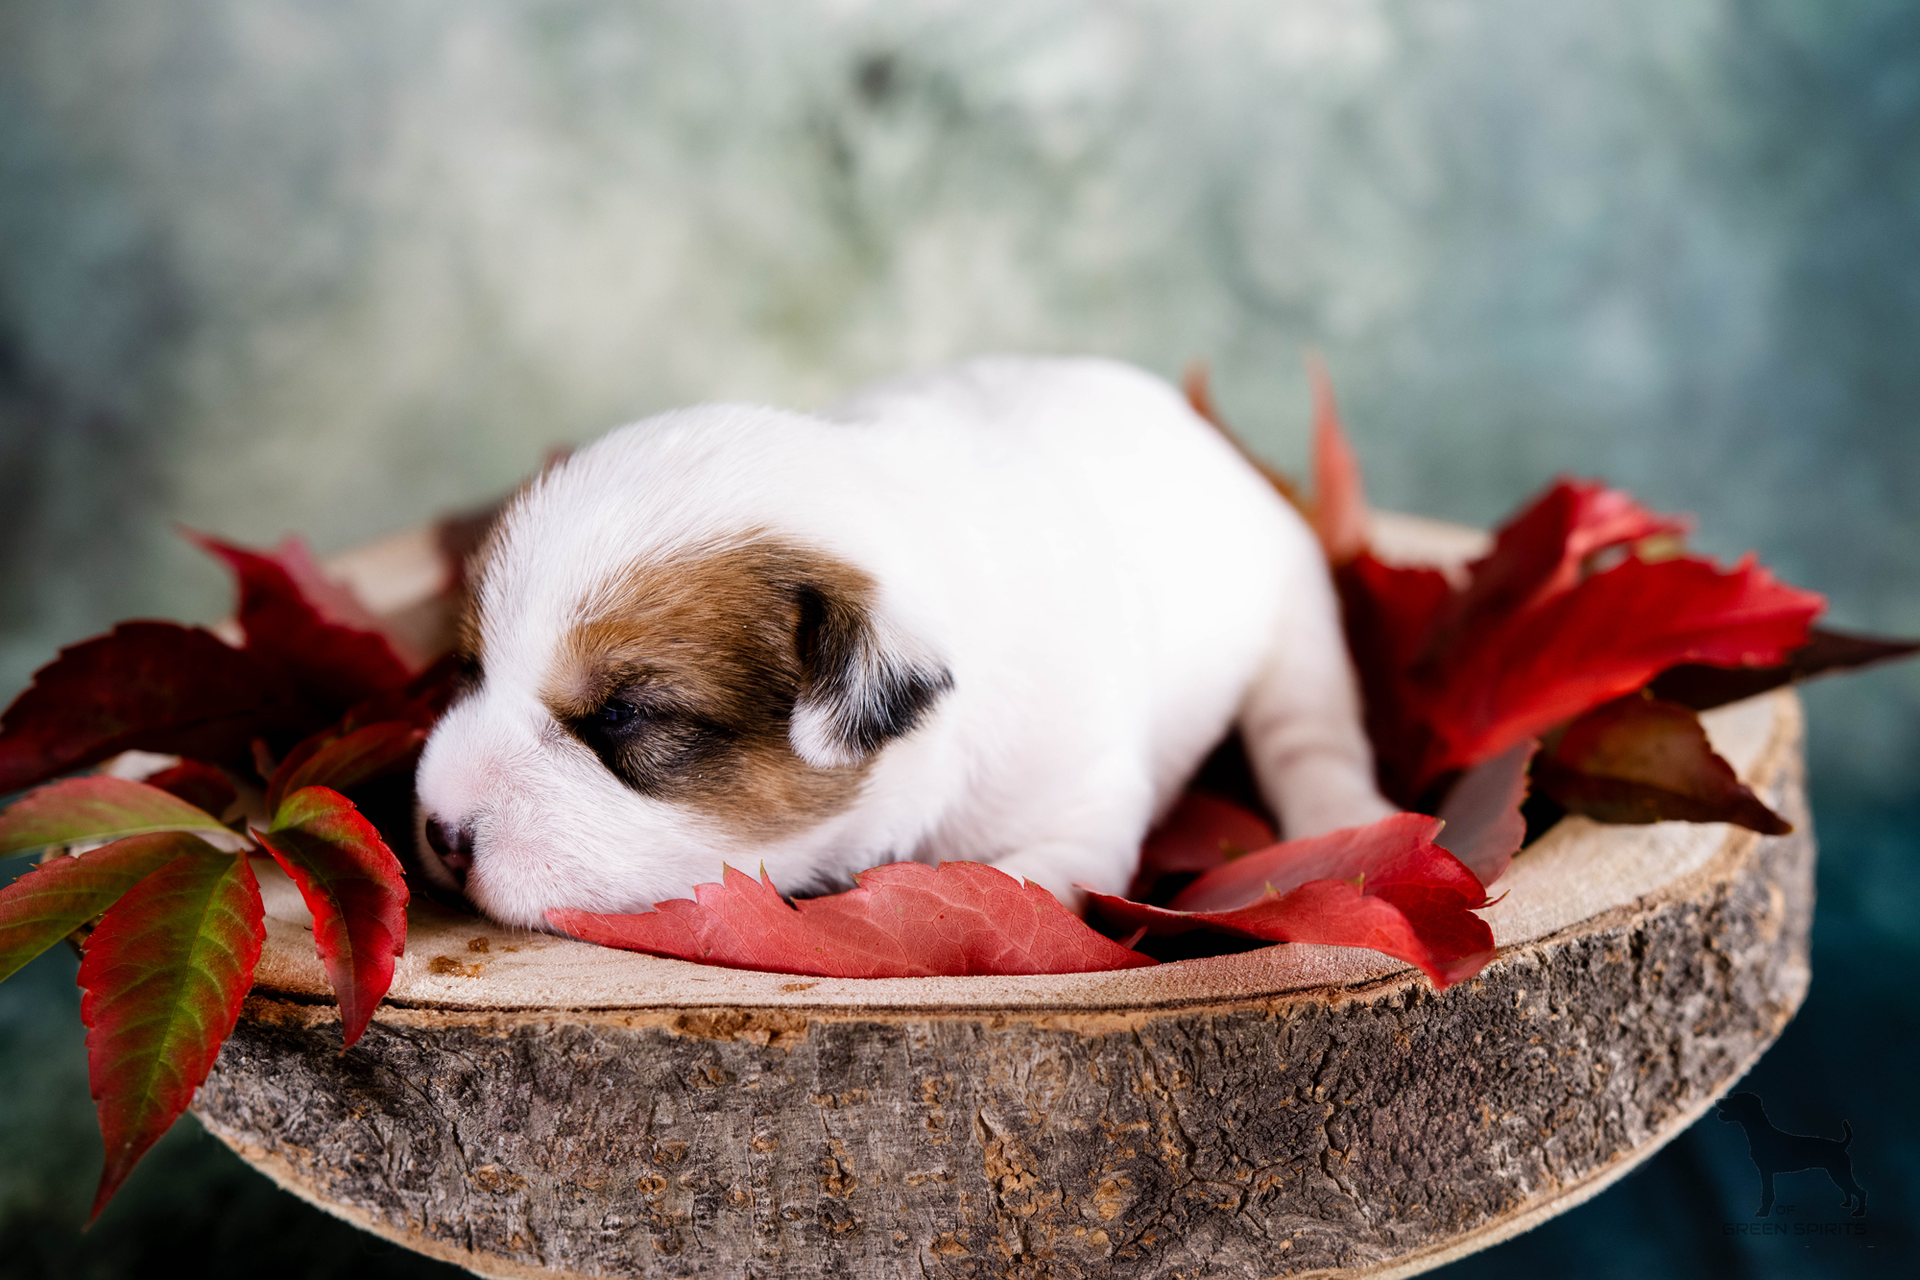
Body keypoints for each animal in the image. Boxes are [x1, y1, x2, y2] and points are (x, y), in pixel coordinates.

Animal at [414, 356, 1393, 930]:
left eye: (622, 716)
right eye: (470, 668)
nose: (437, 832)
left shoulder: (1079, 816)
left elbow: (1017, 885)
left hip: (1297, 609)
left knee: (1310, 733)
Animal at [1715, 1091, 1867, 1218]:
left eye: (1735, 1099)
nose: (1716, 1099)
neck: (1760, 1132)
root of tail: (1841, 1145)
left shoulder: (1766, 1172)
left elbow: (1767, 1195)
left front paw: (1764, 1213)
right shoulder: (1765, 1172)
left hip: (1839, 1173)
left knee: (1860, 1191)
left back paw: (1859, 1212)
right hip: (1836, 1174)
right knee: (1848, 1189)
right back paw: (1847, 1204)